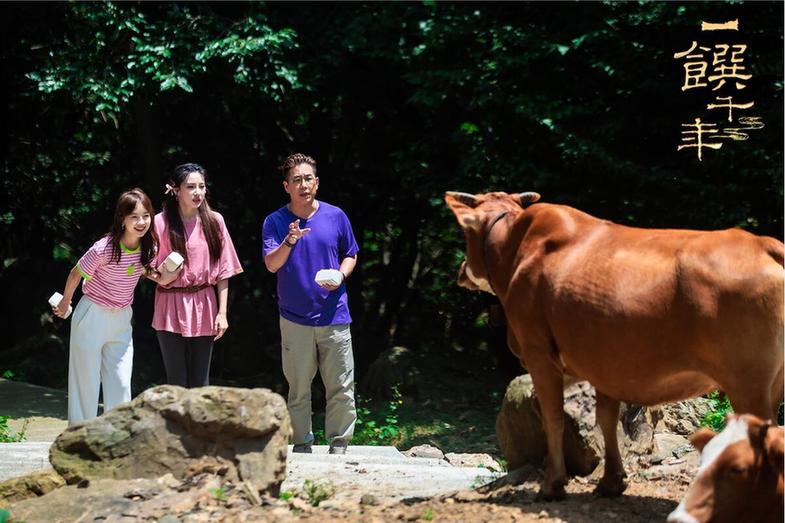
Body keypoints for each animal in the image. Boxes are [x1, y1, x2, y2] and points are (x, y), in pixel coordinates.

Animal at [444, 191, 780, 500]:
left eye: (466, 234)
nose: (460, 269)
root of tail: (763, 244)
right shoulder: (605, 363)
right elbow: (605, 420)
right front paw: (611, 482)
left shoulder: (538, 352)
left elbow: (553, 418)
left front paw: (552, 484)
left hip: (747, 385)